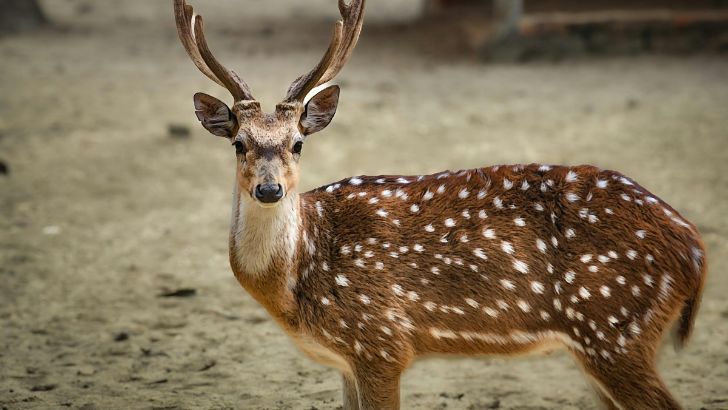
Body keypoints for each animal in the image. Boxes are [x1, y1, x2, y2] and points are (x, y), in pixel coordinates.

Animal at [172, 0, 707, 408]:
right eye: (239, 143)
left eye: (298, 143)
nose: (269, 190)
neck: (299, 279)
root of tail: (694, 248)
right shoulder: (347, 361)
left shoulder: (382, 342)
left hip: (614, 331)